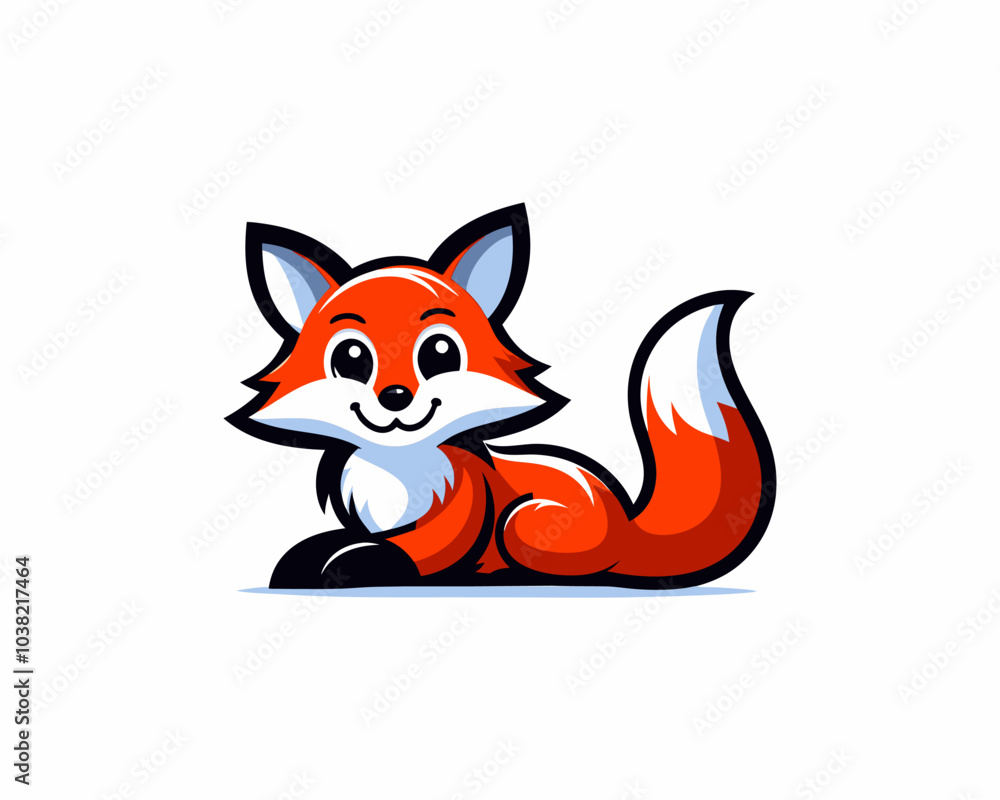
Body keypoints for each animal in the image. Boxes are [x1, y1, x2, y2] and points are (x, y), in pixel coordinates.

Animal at [227, 205, 775, 590]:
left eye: (440, 352)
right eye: (351, 358)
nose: (396, 397)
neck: (399, 466)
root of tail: (627, 526)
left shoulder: (450, 527)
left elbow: (392, 554)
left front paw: (345, 563)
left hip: (522, 522)